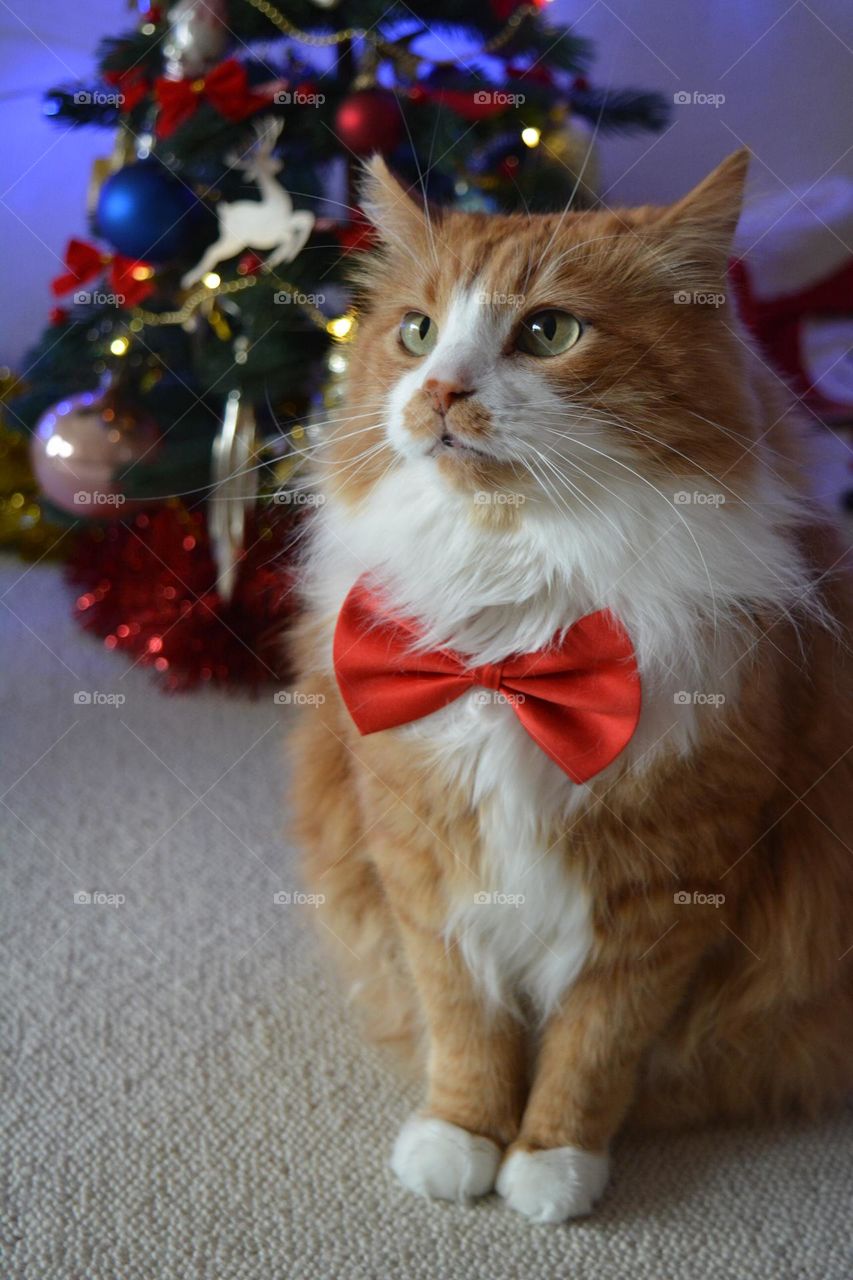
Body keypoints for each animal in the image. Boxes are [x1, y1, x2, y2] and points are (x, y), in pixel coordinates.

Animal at [286, 149, 850, 1218]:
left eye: (548, 332)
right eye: (416, 331)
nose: (438, 392)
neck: (518, 629)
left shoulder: (667, 888)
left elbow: (594, 1047)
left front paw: (551, 1164)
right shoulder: (421, 862)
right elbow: (463, 1022)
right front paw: (461, 1139)